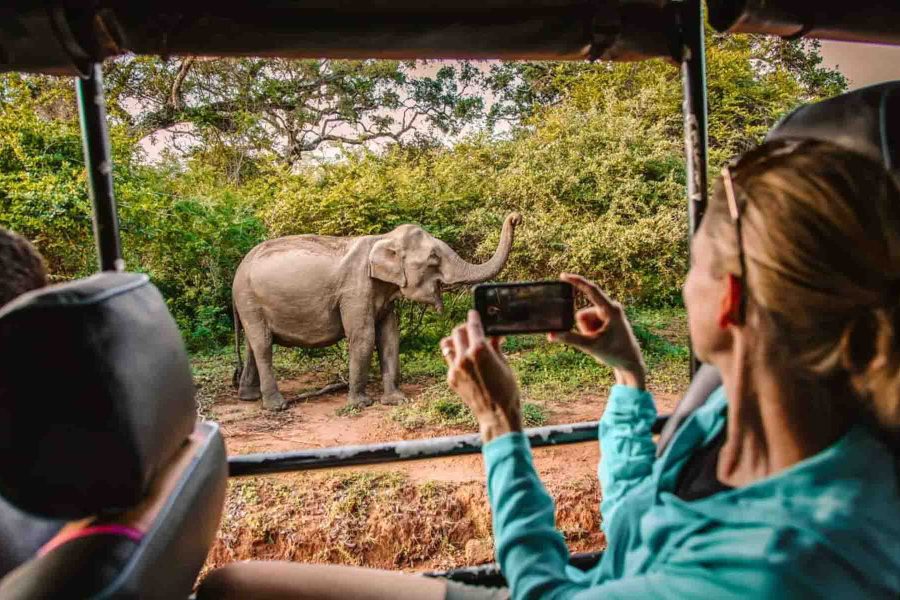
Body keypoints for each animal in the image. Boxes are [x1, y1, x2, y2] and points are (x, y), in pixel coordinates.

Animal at [230, 212, 520, 412]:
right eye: (434, 258)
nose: (515, 217)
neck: (383, 238)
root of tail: (238, 271)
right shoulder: (354, 290)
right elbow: (364, 336)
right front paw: (361, 404)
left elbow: (389, 336)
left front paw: (396, 400)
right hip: (249, 300)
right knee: (263, 345)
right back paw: (276, 406)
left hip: (249, 303)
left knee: (253, 345)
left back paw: (249, 397)